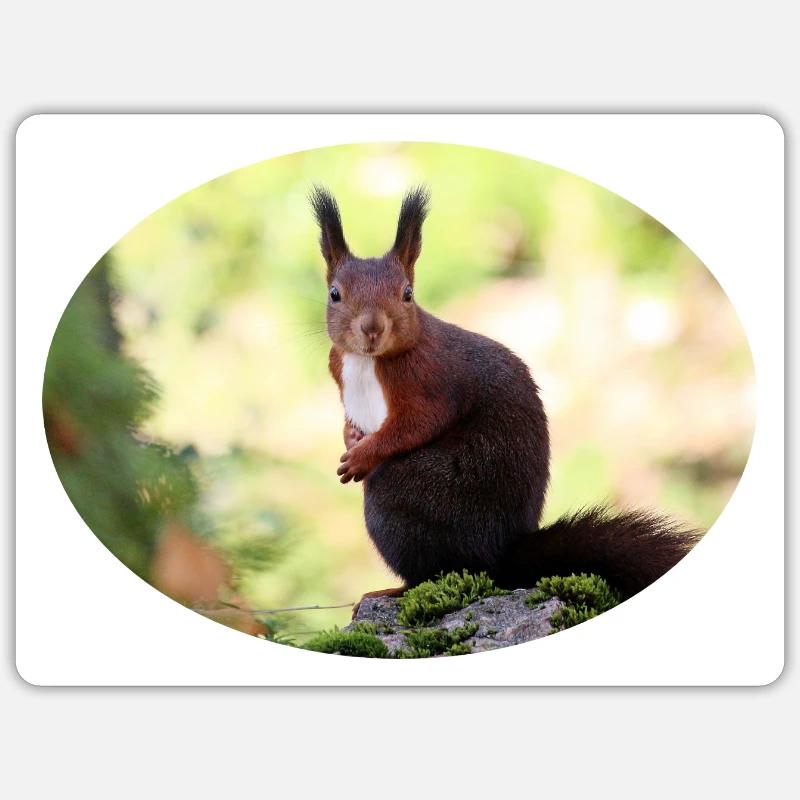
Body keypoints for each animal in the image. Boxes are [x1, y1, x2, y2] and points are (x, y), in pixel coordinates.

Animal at [310, 185, 702, 611]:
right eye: (335, 294)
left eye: (407, 294)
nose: (372, 328)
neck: (367, 361)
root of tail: (497, 557)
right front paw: (350, 439)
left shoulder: (429, 380)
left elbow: (417, 424)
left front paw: (362, 455)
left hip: (401, 498)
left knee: (434, 570)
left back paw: (393, 590)